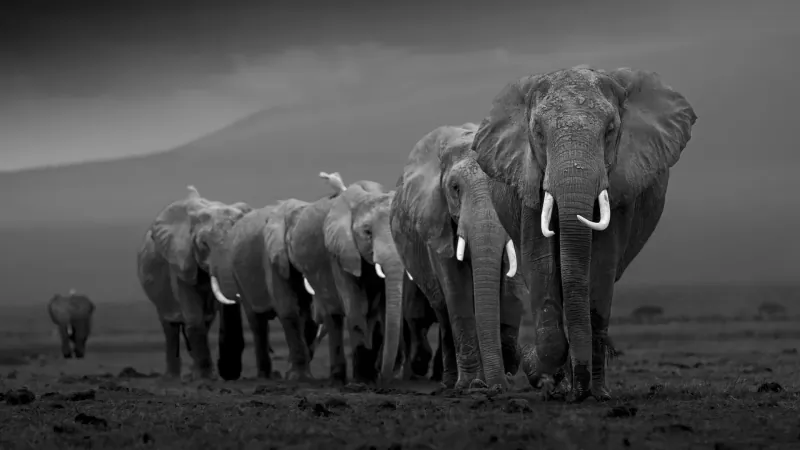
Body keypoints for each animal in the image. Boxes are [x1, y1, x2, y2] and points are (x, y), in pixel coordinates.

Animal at [136, 185, 252, 381]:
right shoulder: (180, 259)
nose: (229, 373)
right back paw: (173, 377)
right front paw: (206, 378)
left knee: (205, 321)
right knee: (170, 327)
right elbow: (193, 318)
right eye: (204, 244)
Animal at [391, 123, 527, 391]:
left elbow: (511, 285)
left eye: (508, 187)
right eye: (455, 188)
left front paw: (506, 370)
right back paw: (450, 382)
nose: (497, 386)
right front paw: (471, 384)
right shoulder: (436, 219)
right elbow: (456, 287)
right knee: (443, 312)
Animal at [471, 66, 697, 402]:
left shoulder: (620, 187)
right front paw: (537, 370)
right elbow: (540, 263)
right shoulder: (528, 181)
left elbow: (600, 265)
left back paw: (594, 390)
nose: (580, 391)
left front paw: (586, 391)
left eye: (610, 131)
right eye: (538, 133)